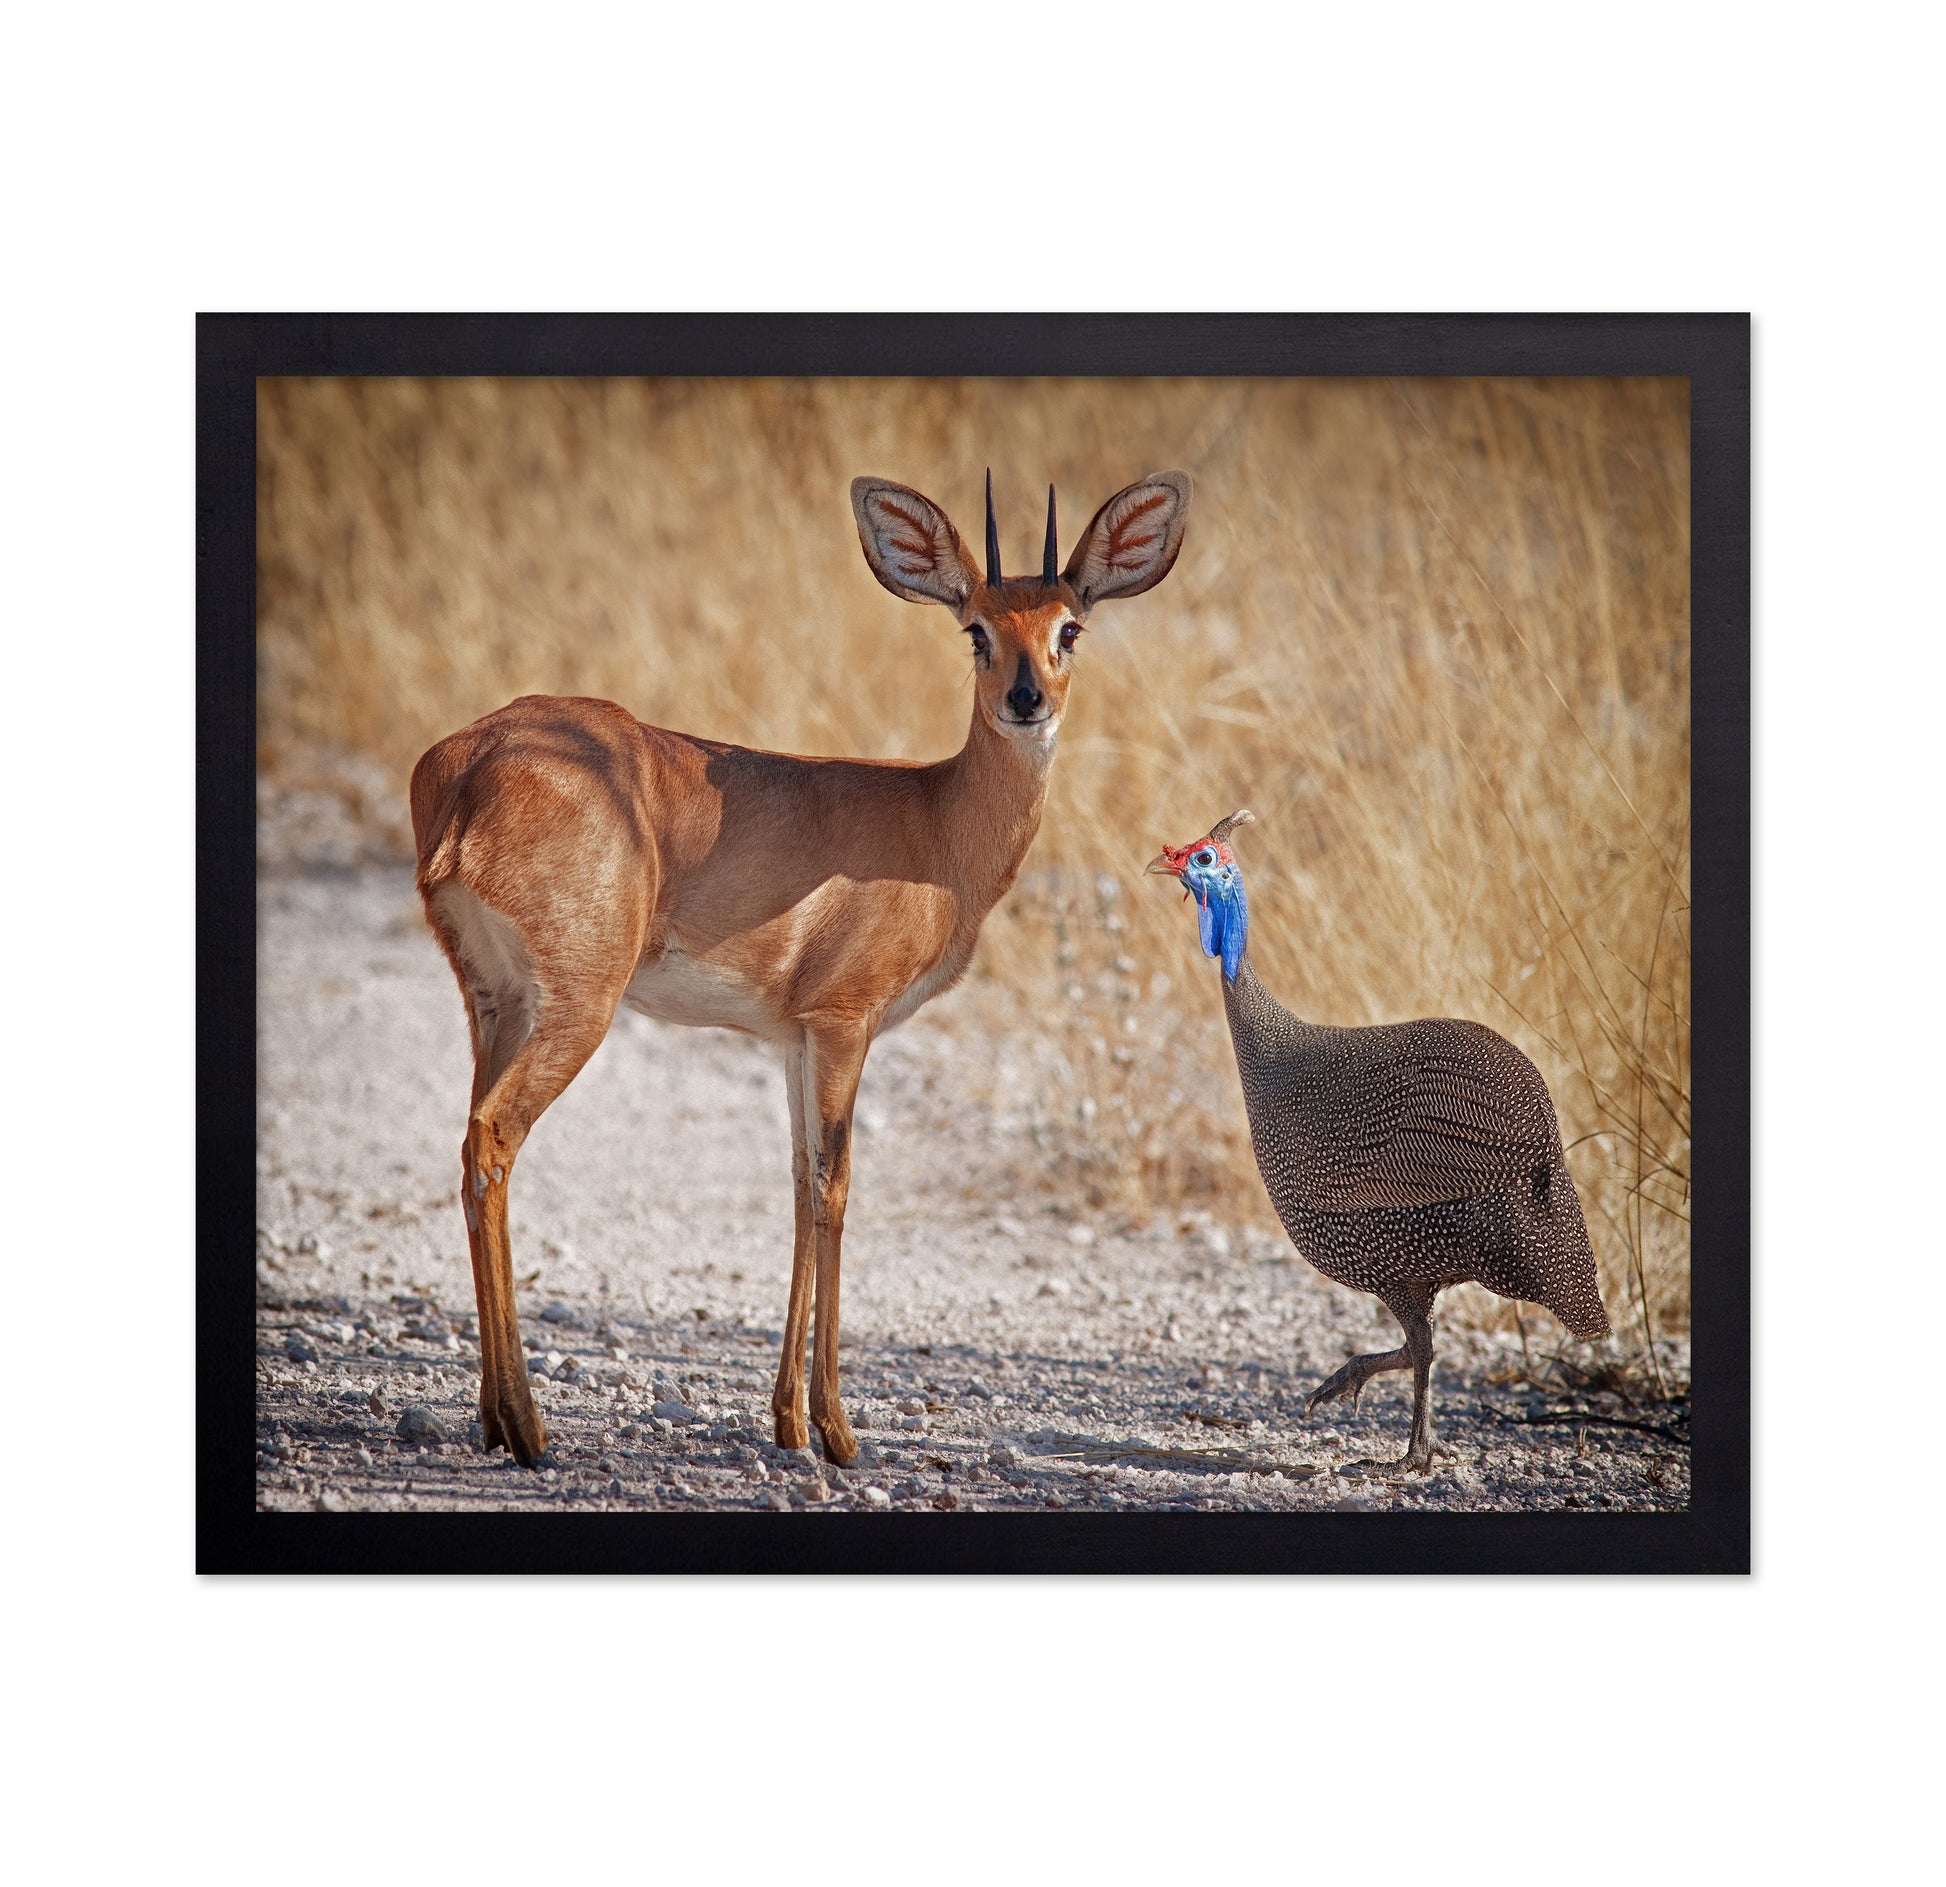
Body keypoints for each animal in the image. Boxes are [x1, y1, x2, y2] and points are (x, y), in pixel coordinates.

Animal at [409, 469, 1192, 1467]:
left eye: (1070, 627)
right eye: (977, 627)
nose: (1026, 699)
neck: (937, 826)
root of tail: (468, 766)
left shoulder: (791, 1038)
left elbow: (793, 1184)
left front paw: (786, 1420)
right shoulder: (846, 1024)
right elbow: (836, 1186)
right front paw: (839, 1428)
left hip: (495, 1000)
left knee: (469, 1141)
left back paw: (490, 1416)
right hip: (578, 1006)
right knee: (492, 1139)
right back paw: (527, 1424)